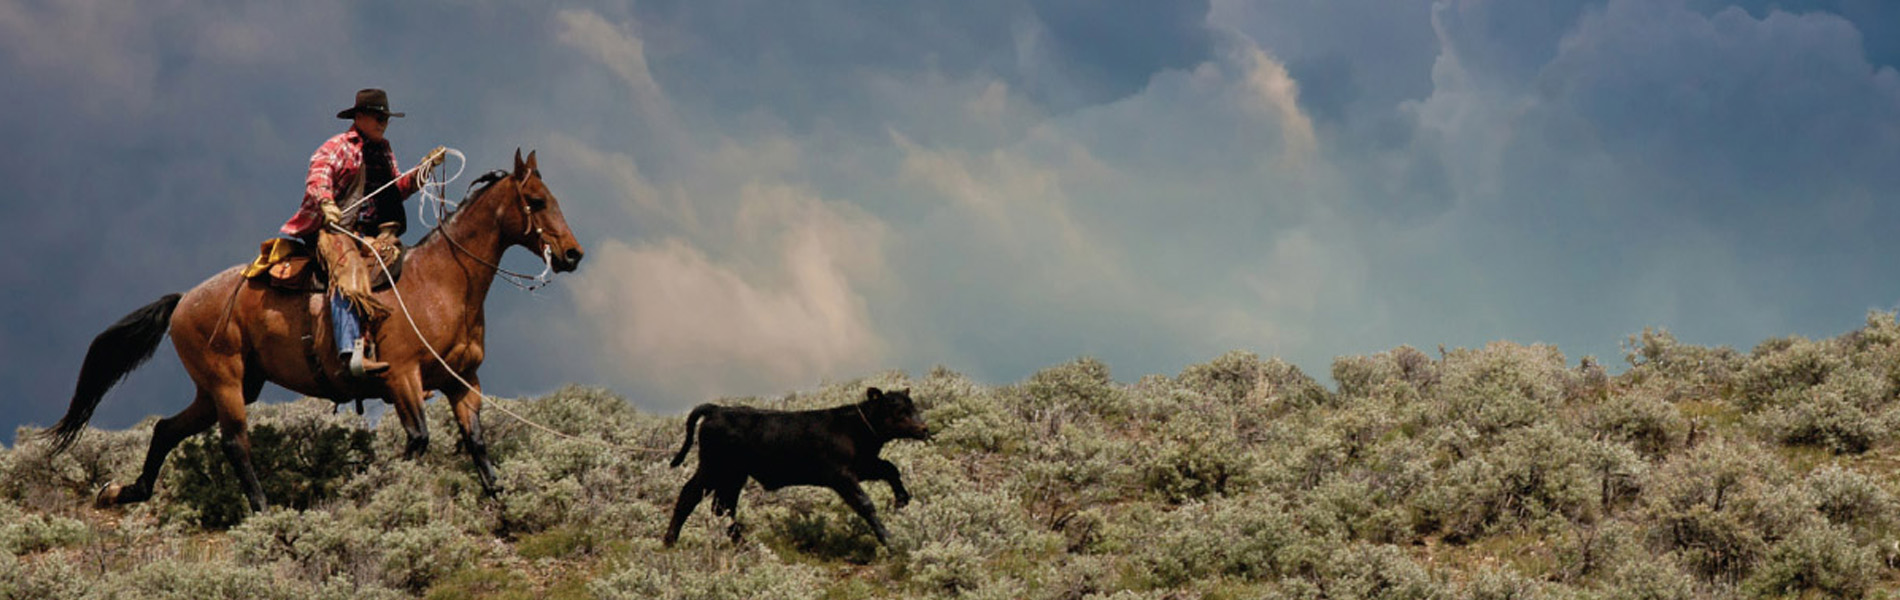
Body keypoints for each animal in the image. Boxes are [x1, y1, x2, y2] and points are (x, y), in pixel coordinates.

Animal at [663, 387, 931, 548]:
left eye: (914, 407)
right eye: (898, 410)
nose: (924, 428)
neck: (854, 428)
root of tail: (718, 409)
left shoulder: (864, 465)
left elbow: (890, 469)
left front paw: (902, 500)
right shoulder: (840, 475)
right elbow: (865, 503)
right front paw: (889, 540)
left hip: (734, 474)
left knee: (723, 506)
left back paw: (741, 544)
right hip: (713, 467)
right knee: (689, 495)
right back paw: (670, 541)